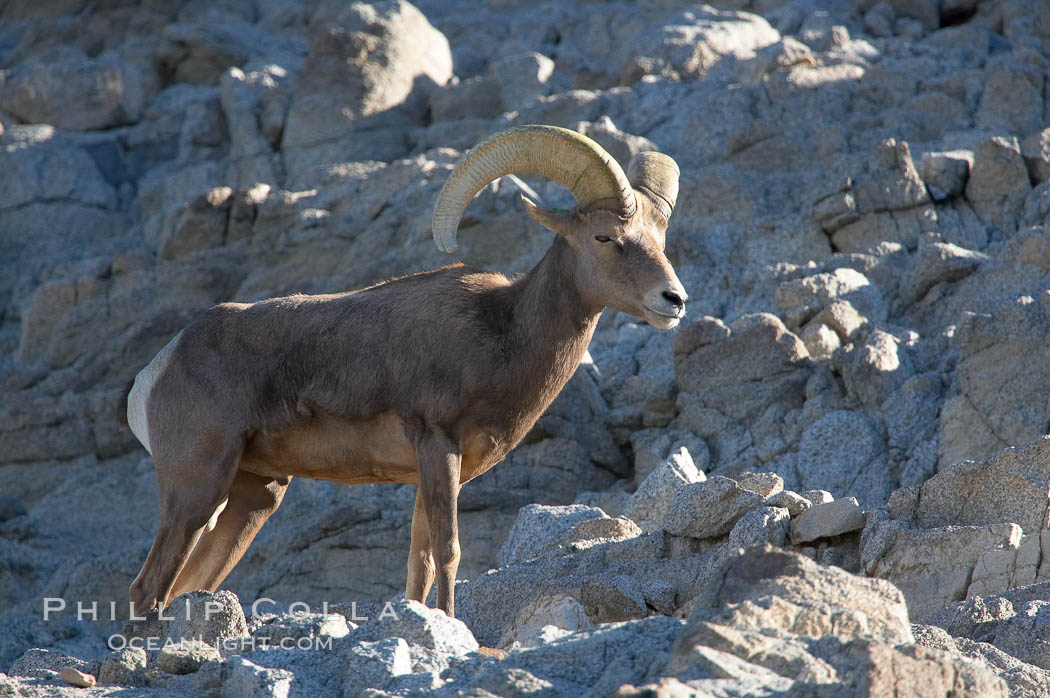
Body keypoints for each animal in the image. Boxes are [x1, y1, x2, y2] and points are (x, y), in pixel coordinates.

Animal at [122, 123, 684, 617]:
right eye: (605, 238)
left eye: (660, 236)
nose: (673, 300)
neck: (501, 335)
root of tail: (153, 374)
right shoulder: (439, 448)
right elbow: (448, 551)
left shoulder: (434, 473)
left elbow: (421, 562)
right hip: (197, 489)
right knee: (148, 588)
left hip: (253, 497)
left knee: (182, 585)